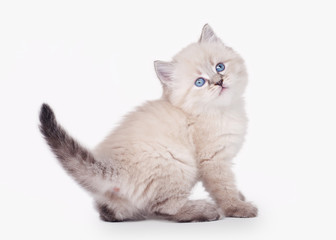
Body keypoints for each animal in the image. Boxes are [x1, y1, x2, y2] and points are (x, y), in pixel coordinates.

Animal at [40, 24, 258, 221]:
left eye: (219, 66)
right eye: (200, 82)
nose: (219, 81)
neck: (222, 110)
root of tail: (112, 168)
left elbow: (230, 186)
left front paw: (240, 197)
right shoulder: (213, 160)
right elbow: (224, 188)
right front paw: (238, 207)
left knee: (111, 213)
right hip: (177, 162)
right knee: (166, 207)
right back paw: (203, 210)